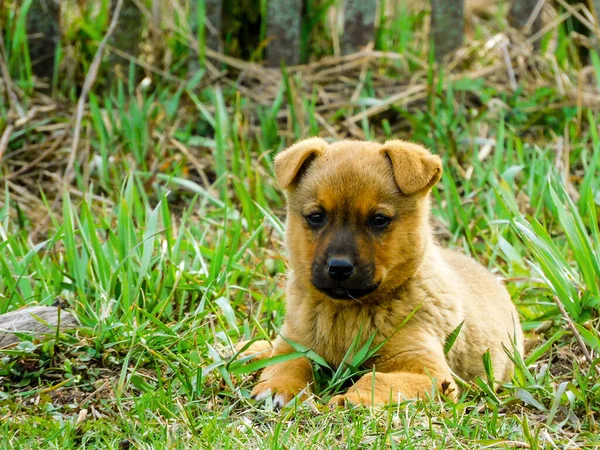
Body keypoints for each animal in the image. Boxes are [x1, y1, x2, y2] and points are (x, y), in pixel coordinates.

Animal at [241, 138, 524, 408]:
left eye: (378, 220)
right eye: (316, 217)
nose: (339, 267)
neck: (348, 314)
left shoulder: (429, 373)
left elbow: (376, 378)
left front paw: (353, 399)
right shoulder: (294, 343)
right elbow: (286, 364)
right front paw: (277, 387)